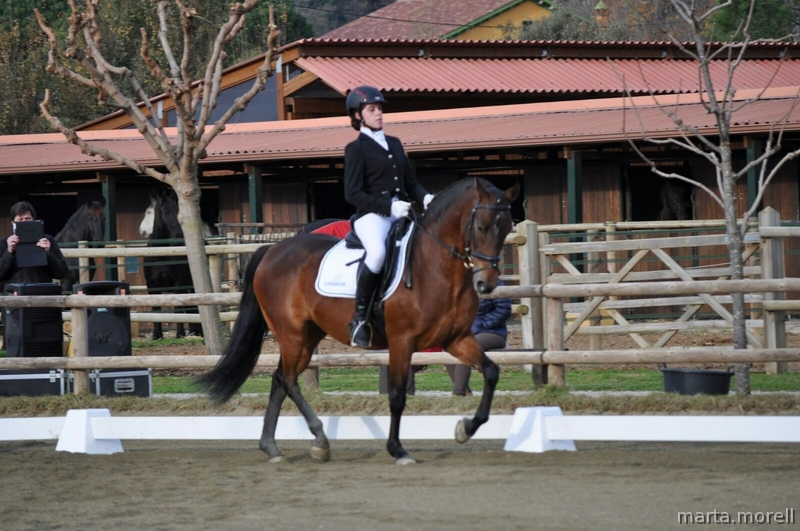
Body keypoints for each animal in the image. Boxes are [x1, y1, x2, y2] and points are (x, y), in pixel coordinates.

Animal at [141, 191, 205, 340]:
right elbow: (156, 310)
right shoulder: (151, 285)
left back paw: (196, 332)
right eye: (166, 213)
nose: (179, 235)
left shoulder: (178, 284)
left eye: (178, 211)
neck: (161, 255)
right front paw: (157, 335)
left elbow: (178, 309)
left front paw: (180, 334)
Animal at [199, 178, 519, 464]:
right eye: (481, 227)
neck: (436, 268)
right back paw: (319, 440)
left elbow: (491, 371)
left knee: (280, 379)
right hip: (292, 334)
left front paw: (466, 428)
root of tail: (272, 250)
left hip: (308, 336)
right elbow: (397, 395)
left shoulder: (456, 339)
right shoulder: (402, 342)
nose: (486, 284)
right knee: (288, 380)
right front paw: (398, 450)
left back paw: (272, 447)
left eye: (506, 228)